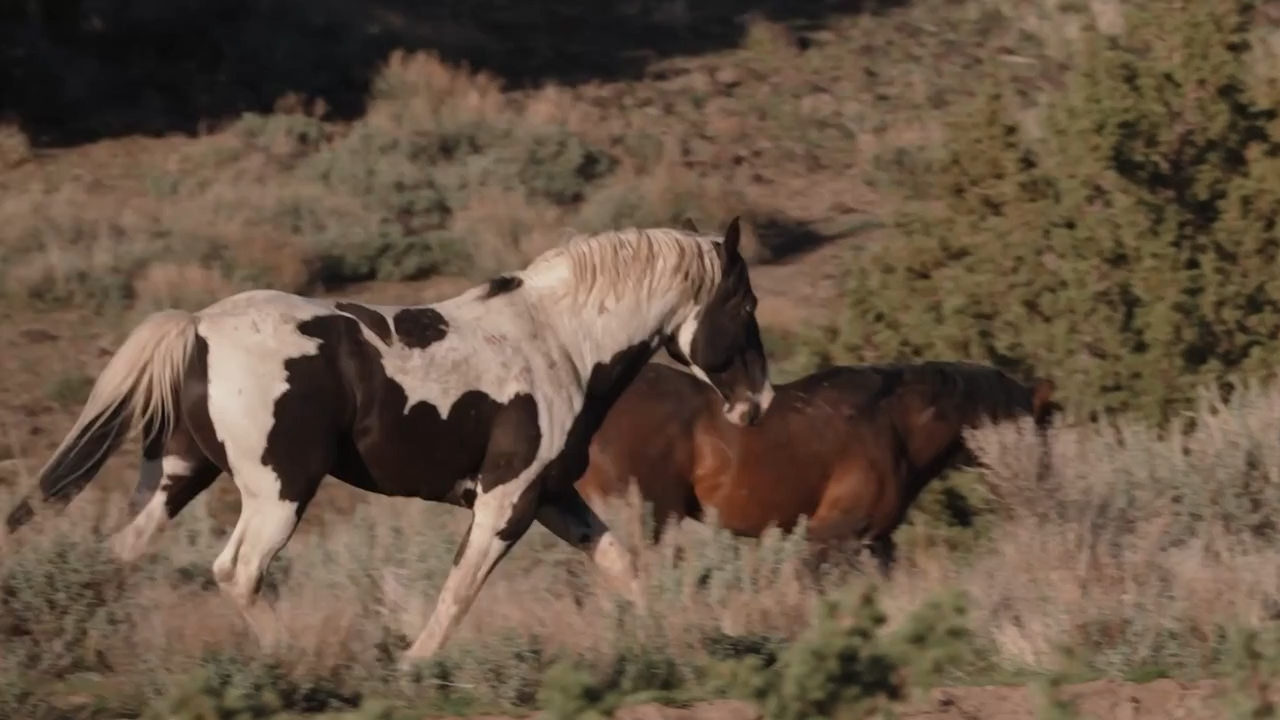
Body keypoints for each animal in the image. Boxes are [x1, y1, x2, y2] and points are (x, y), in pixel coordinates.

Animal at [3, 217, 776, 667]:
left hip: (179, 474)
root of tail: (198, 328)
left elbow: (620, 564)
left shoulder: (551, 495)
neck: (561, 342)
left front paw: (669, 644)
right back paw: (294, 663)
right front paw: (412, 666)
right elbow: (460, 589)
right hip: (279, 493)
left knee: (123, 553)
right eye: (744, 305)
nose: (758, 404)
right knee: (238, 572)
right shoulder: (507, 500)